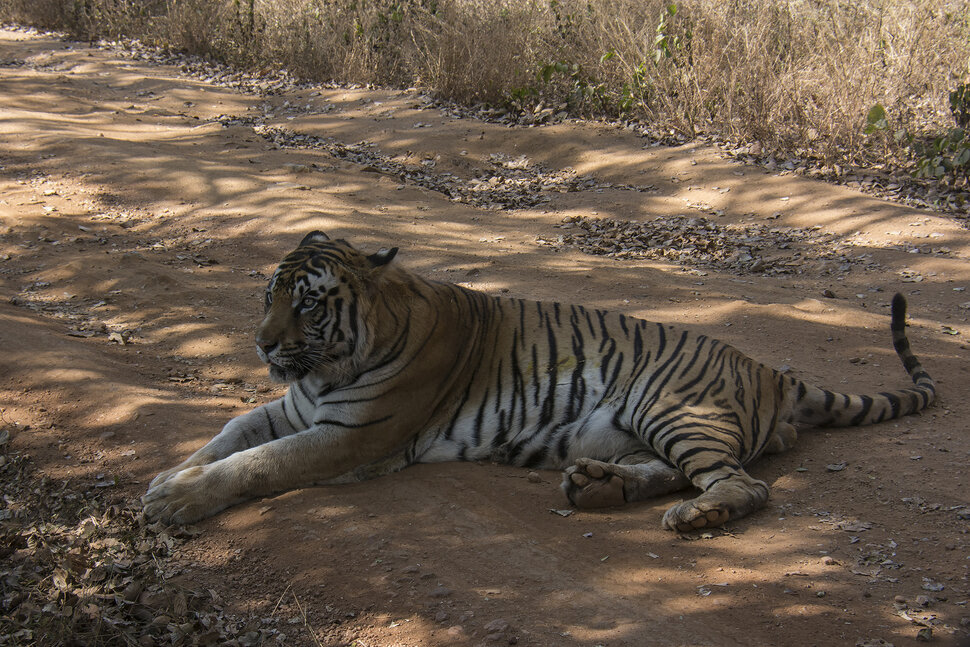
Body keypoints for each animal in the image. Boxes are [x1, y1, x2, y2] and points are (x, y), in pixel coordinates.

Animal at [140, 233, 932, 532]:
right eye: (266, 296)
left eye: (306, 303)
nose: (263, 343)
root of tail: (770, 369)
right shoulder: (295, 405)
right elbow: (231, 434)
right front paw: (168, 478)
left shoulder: (349, 434)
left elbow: (257, 463)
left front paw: (177, 499)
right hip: (639, 426)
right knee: (677, 472)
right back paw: (598, 487)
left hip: (672, 407)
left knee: (741, 486)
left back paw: (692, 516)